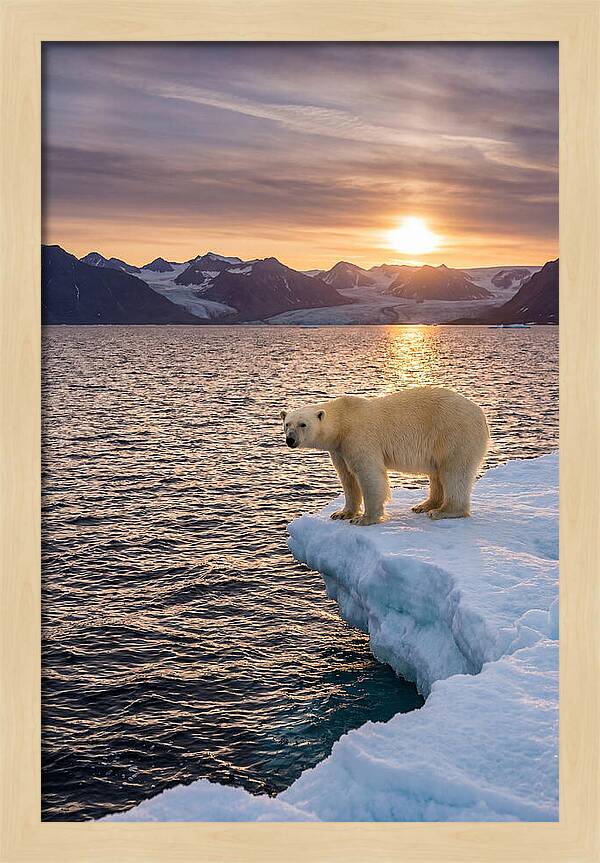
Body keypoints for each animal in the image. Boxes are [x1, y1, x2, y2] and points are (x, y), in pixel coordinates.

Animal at [280, 386, 489, 525]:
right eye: (287, 423)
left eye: (303, 424)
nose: (290, 440)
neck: (343, 421)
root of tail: (481, 414)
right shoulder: (339, 448)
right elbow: (347, 477)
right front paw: (342, 513)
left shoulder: (359, 437)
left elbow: (369, 474)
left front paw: (365, 519)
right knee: (437, 473)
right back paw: (424, 505)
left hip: (454, 433)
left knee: (454, 471)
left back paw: (443, 511)